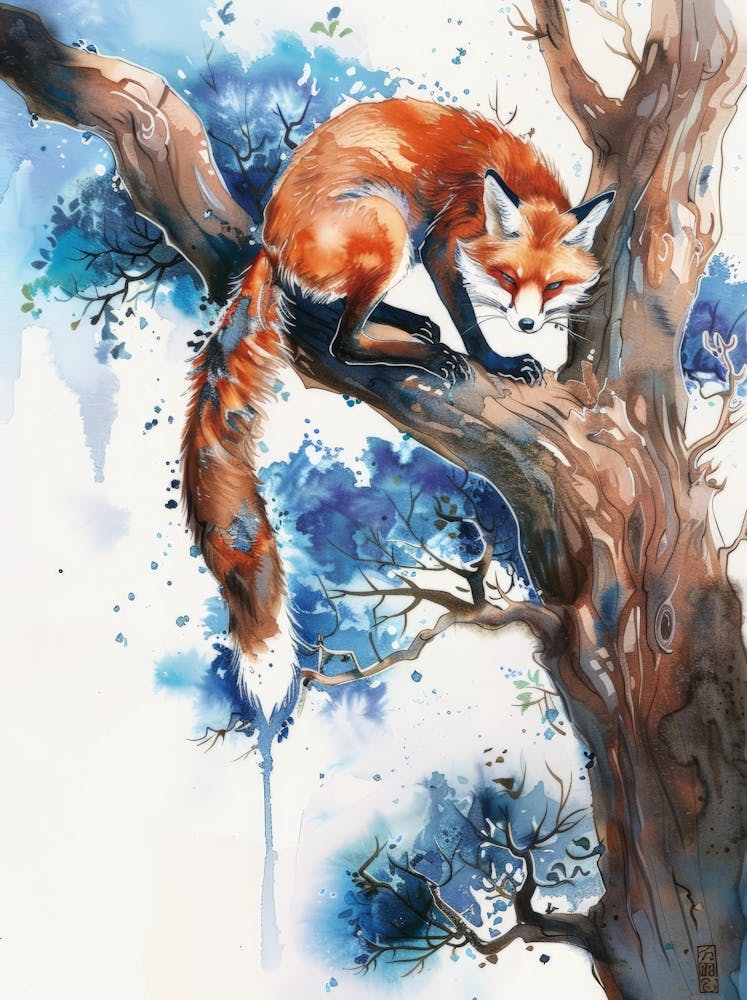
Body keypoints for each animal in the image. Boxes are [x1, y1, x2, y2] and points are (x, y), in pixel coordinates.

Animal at [182, 98, 615, 708]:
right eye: (507, 276)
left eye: (552, 285)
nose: (528, 324)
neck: (515, 175)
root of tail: (270, 241)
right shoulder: (442, 242)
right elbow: (470, 322)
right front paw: (496, 359)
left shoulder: (438, 245)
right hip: (389, 227)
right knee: (343, 341)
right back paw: (423, 352)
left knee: (344, 314)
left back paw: (408, 321)